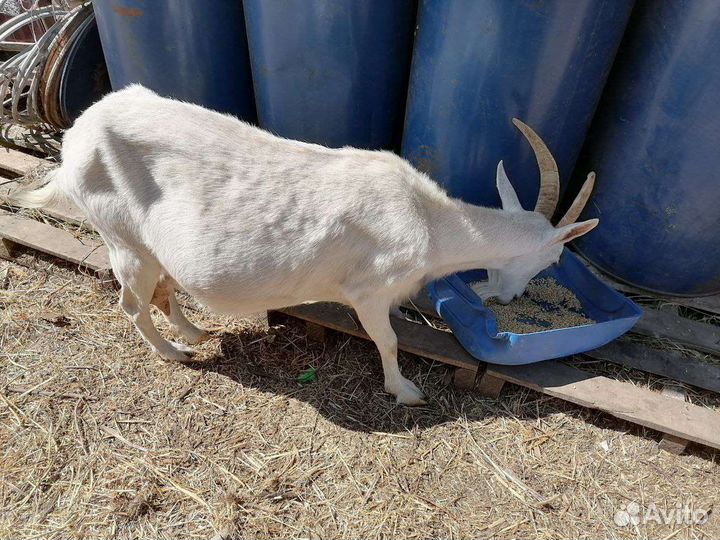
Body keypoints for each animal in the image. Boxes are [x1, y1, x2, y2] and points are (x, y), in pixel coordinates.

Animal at [10, 85, 598, 405]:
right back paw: (176, 352)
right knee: (131, 302)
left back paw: (194, 331)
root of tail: (76, 134)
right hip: (123, 239)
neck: (429, 221)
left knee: (164, 289)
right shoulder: (367, 289)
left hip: (151, 247)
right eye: (553, 257)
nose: (507, 299)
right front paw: (405, 391)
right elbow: (386, 341)